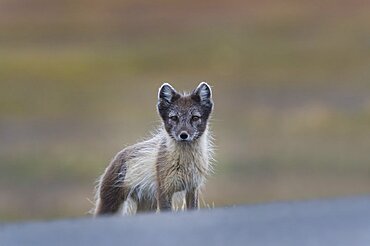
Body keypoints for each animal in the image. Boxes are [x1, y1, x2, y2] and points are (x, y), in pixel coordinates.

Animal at [94, 81, 214, 215]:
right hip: (111, 203)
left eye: (195, 118)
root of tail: (117, 157)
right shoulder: (164, 191)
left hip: (148, 203)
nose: (183, 135)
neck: (184, 163)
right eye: (174, 118)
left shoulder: (192, 188)